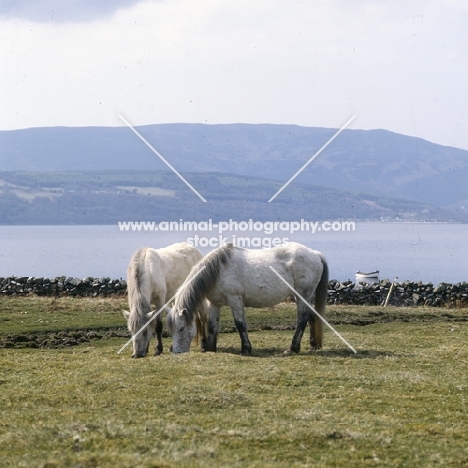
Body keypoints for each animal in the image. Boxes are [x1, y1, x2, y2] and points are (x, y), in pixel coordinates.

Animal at [166, 241, 328, 354]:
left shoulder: (235, 300)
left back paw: (293, 348)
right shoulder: (214, 303)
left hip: (302, 295)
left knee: (302, 319)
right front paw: (210, 348)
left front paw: (245, 349)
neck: (218, 270)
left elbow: (240, 324)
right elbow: (213, 326)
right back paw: (313, 346)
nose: (176, 351)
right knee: (311, 317)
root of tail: (314, 254)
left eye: (181, 328)